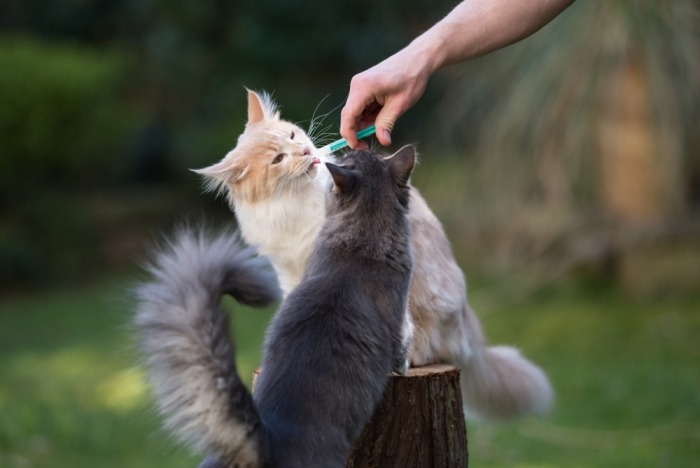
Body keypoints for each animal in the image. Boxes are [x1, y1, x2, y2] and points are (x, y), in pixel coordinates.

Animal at [135, 147, 416, 468]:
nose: (353, 147)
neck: (362, 238)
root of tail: (268, 441)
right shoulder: (399, 318)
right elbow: (404, 344)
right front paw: (406, 365)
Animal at [196, 88, 552, 420]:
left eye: (293, 137)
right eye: (278, 159)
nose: (307, 152)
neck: (293, 203)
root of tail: (468, 321)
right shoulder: (289, 270)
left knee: (434, 345)